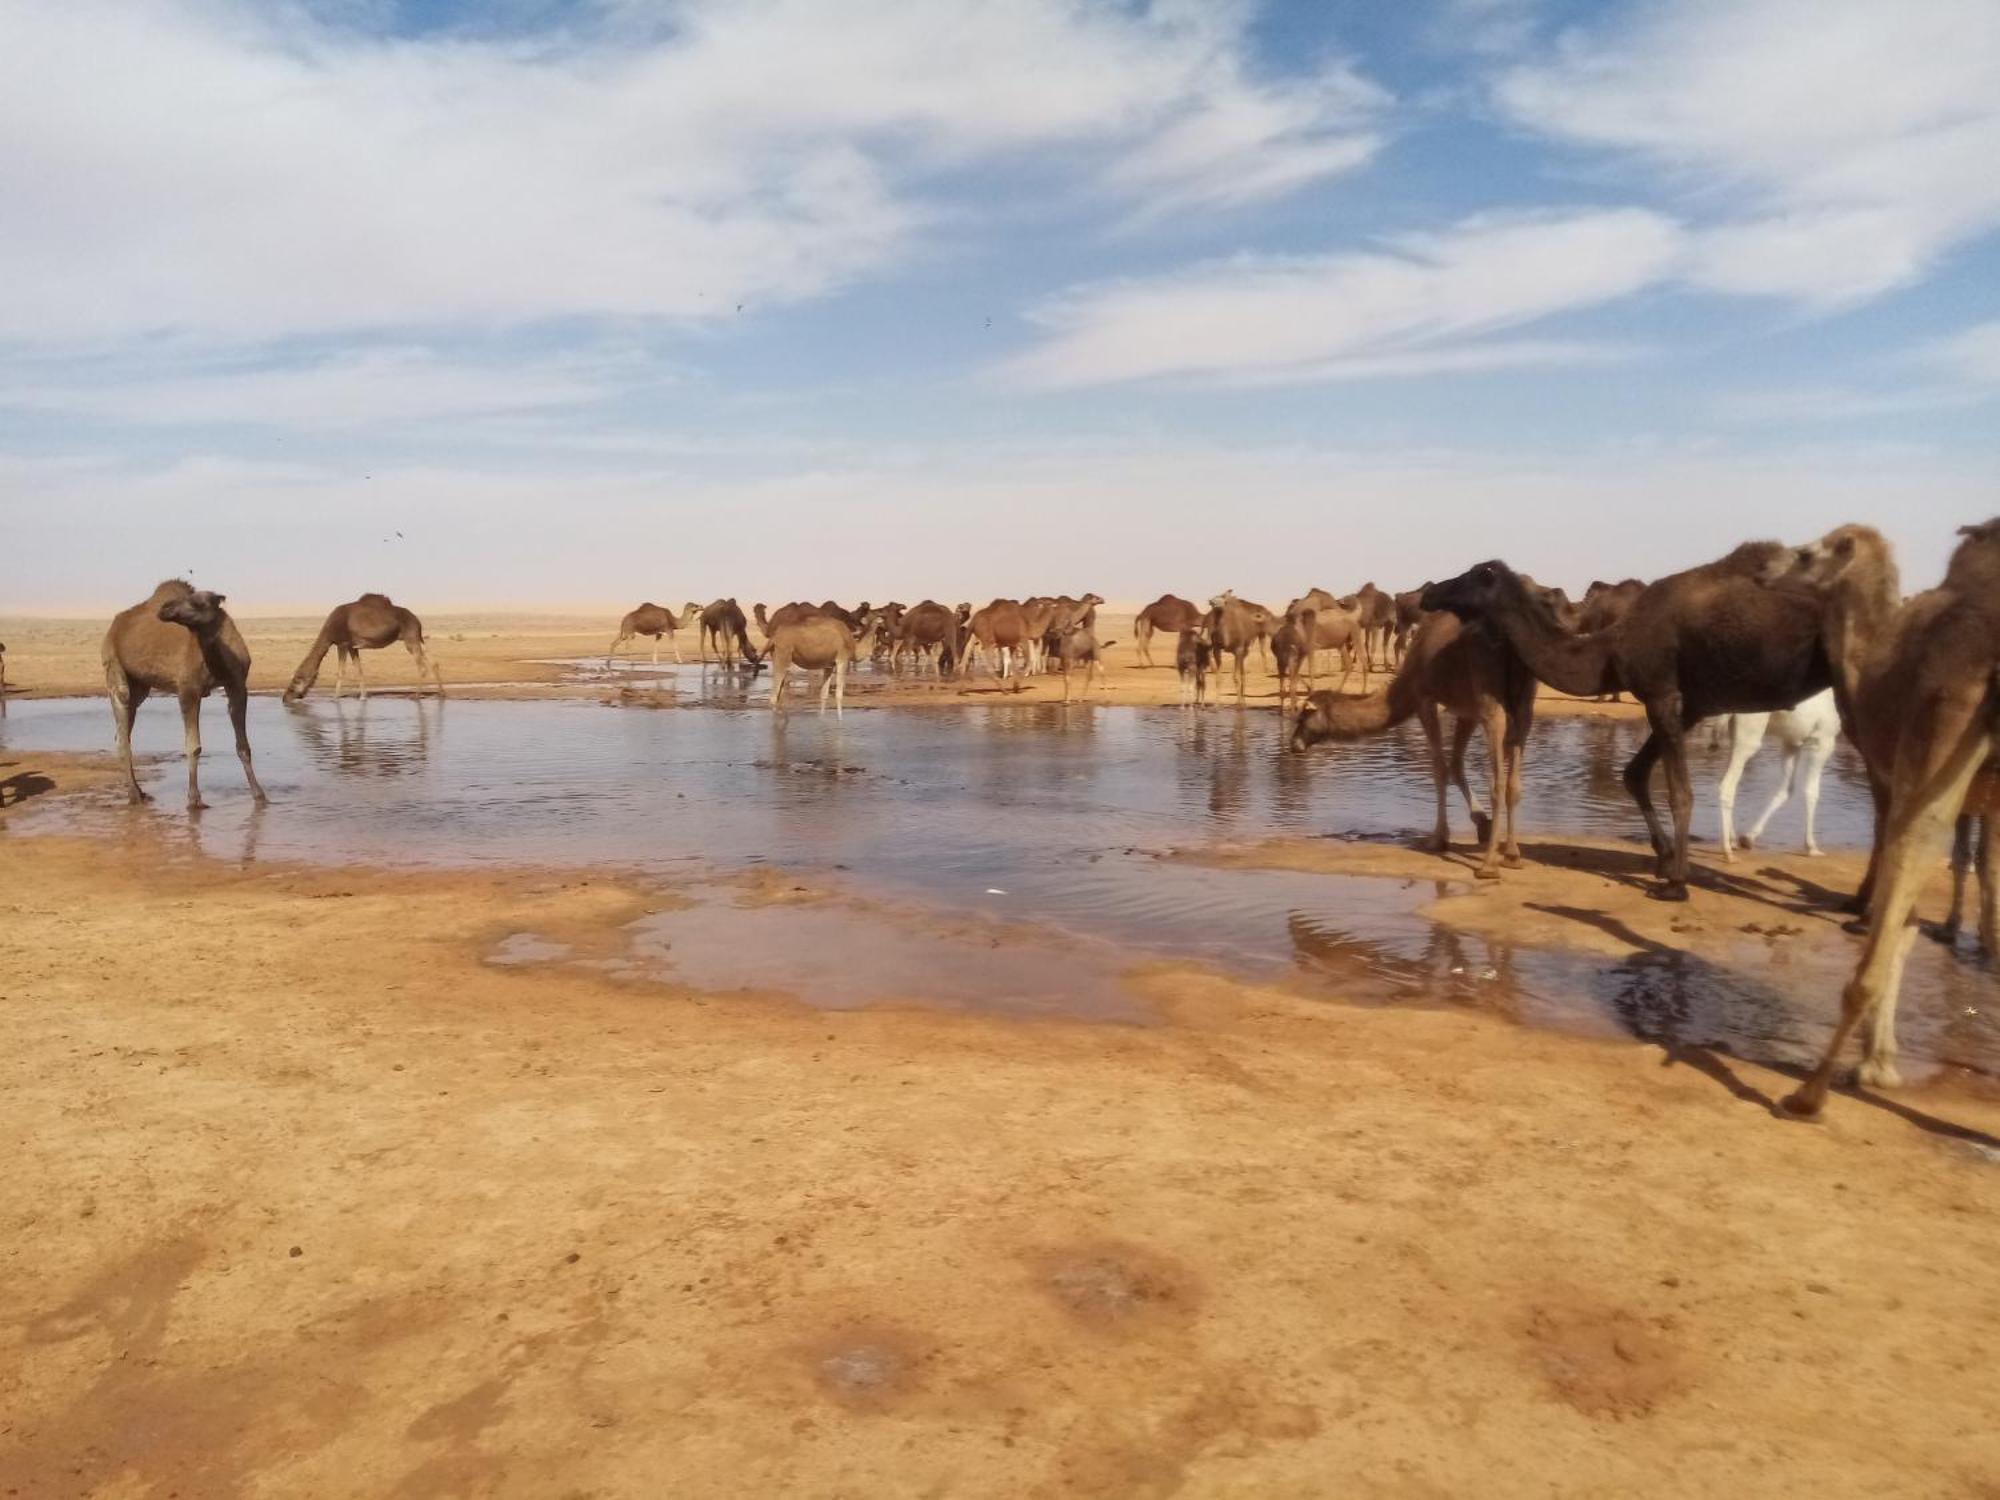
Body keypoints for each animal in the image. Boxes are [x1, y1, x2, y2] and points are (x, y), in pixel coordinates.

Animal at [103, 580, 268, 812]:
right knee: (122, 719)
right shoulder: (187, 689)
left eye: (198, 602)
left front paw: (259, 795)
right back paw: (134, 794)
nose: (164, 609)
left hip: (140, 686)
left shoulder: (237, 685)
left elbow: (243, 746)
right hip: (113, 665)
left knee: (123, 732)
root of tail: (114, 625)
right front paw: (194, 800)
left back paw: (140, 791)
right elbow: (193, 746)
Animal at [284, 592, 444, 704]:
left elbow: (341, 671)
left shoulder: (342, 643)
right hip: (417, 639)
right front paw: (363, 696)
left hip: (410, 639)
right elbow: (359, 669)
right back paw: (441, 694)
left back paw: (416, 696)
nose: (285, 698)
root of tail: (417, 621)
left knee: (422, 666)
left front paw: (335, 698)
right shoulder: (353, 646)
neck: (329, 631)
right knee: (434, 663)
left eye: (296, 680)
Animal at [1720, 692, 1840, 864]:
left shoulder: (1792, 742)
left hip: (1734, 733)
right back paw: (1728, 853)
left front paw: (1748, 838)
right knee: (1727, 786)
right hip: (1749, 738)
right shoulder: (1822, 740)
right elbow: (1811, 792)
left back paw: (1734, 842)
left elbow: (1786, 790)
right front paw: (1811, 847)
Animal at [1768, 520, 2000, 1120]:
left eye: (1806, 554)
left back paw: (1810, 1090)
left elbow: (1900, 918)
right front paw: (1881, 1058)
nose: (1766, 566)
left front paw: (1877, 1063)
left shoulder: (1895, 775)